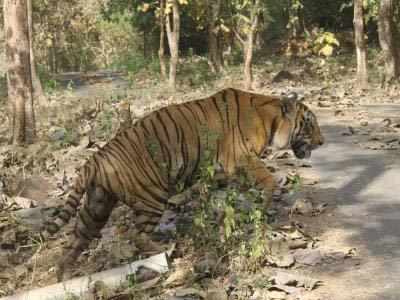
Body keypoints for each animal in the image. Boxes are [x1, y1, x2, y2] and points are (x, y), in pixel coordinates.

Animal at [43, 88, 324, 280]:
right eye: (309, 123)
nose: (322, 142)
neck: (270, 119)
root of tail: (94, 159)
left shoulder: (225, 172)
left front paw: (230, 218)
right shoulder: (243, 158)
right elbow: (267, 180)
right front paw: (265, 204)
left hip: (96, 207)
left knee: (77, 239)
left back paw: (62, 272)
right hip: (152, 196)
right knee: (135, 234)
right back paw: (166, 251)